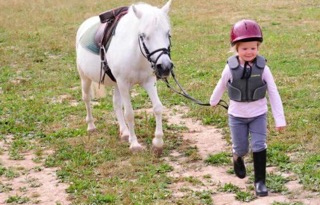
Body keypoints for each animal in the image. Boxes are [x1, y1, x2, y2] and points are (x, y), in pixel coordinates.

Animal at [75, 0, 172, 154]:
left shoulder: (149, 82)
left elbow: (157, 107)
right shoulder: (124, 84)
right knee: (86, 99)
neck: (136, 54)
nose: (165, 67)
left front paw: (158, 141)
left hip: (116, 84)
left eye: (168, 34)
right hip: (85, 78)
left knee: (116, 104)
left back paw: (125, 132)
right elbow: (129, 113)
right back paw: (91, 126)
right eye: (143, 35)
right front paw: (135, 144)